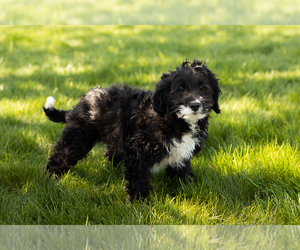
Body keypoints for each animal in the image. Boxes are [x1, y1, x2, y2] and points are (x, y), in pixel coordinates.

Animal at [43, 60, 220, 201]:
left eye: (202, 87)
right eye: (181, 89)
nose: (195, 105)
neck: (174, 119)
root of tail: (85, 99)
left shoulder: (180, 154)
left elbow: (183, 172)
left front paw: (191, 188)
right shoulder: (138, 151)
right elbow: (138, 179)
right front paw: (139, 203)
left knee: (110, 152)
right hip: (79, 136)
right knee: (63, 153)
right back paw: (51, 177)